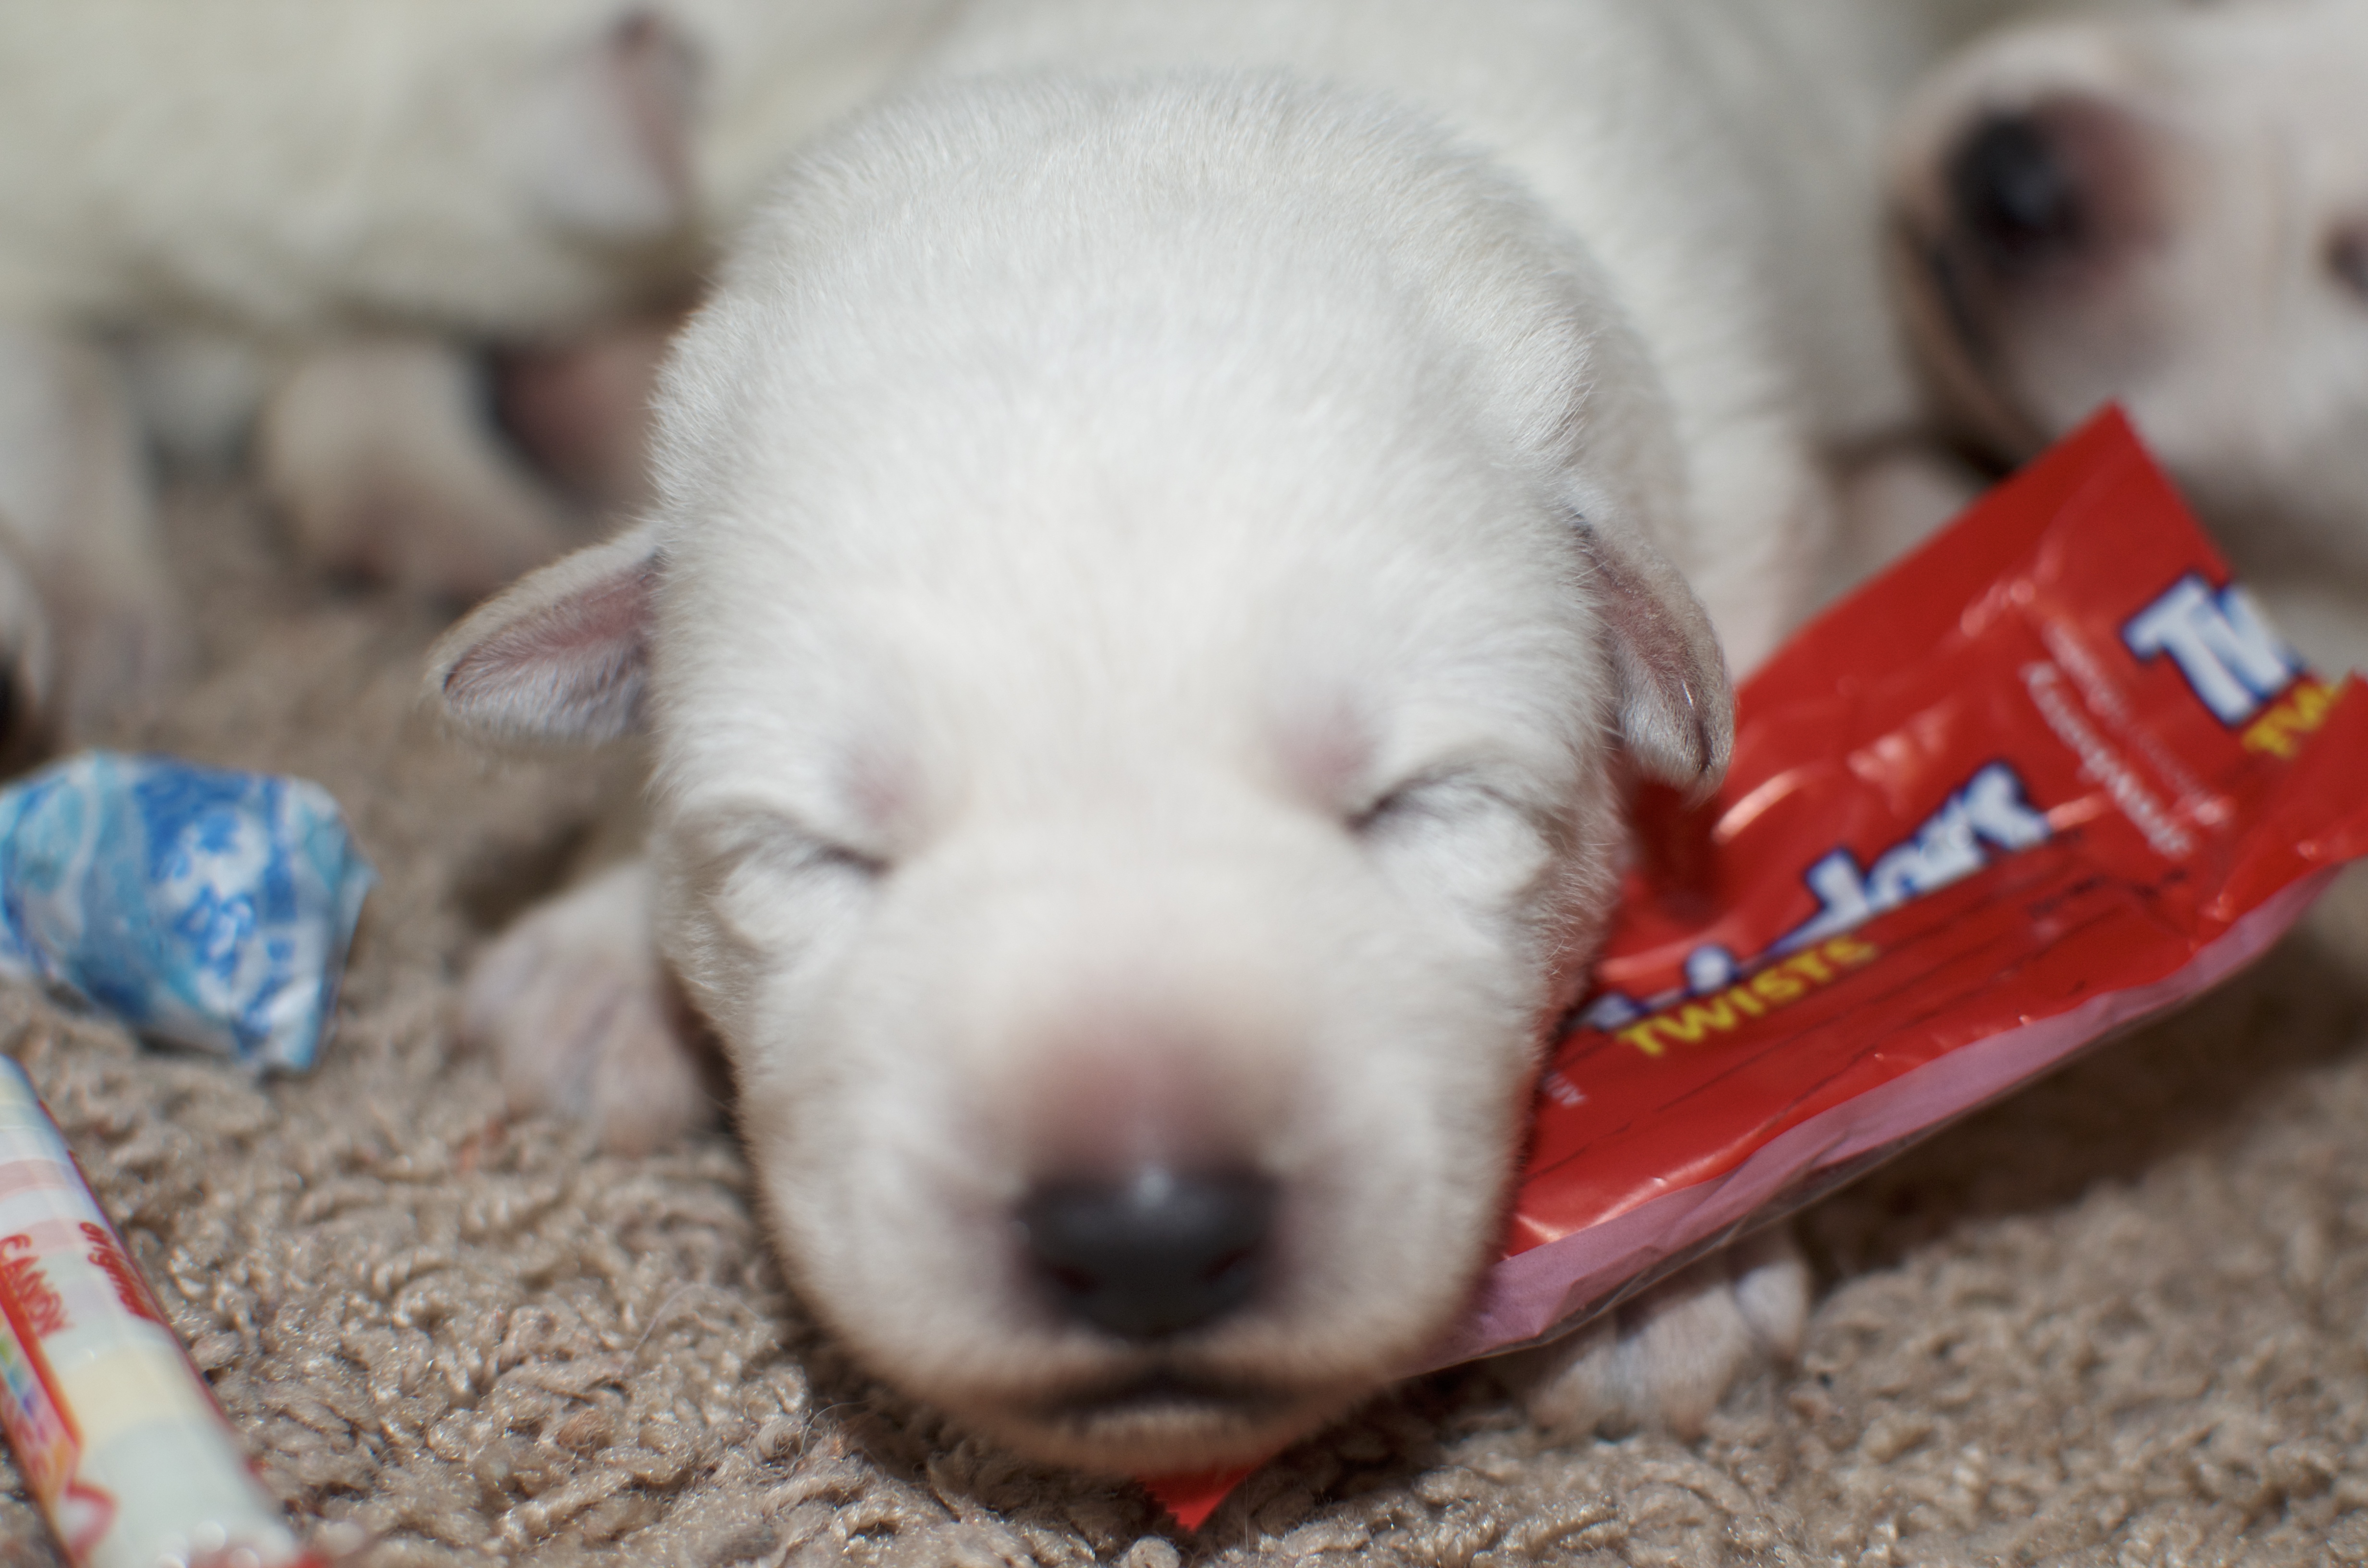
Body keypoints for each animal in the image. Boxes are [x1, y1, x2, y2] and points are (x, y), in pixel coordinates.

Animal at [420, 0, 2041, 1474]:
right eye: (823, 852)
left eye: (1413, 803)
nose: (1147, 1236)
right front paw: (597, 955)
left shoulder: (1739, 492)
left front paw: (1668, 1272)